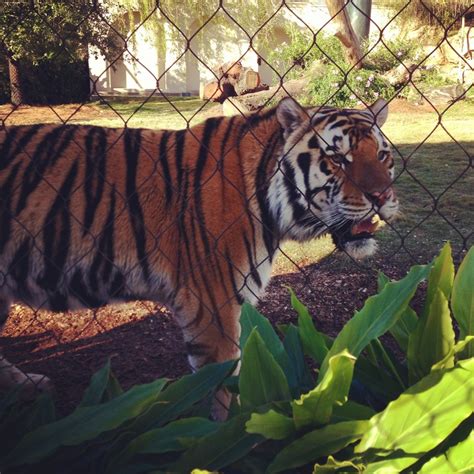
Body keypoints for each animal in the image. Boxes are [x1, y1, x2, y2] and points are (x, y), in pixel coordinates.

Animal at [0, 97, 398, 418]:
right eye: (337, 159)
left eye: (382, 154)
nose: (382, 196)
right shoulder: (213, 308)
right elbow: (227, 390)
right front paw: (234, 438)